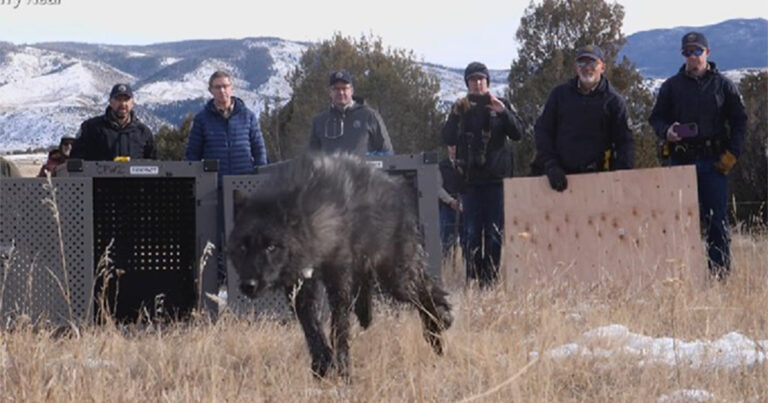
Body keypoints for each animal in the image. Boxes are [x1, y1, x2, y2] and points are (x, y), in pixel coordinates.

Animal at [225, 154, 452, 378]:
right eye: (243, 247)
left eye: (271, 246)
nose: (248, 285)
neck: (314, 219)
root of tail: (395, 186)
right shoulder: (300, 286)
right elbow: (310, 325)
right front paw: (322, 363)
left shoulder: (338, 280)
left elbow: (338, 326)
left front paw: (342, 368)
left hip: (396, 279)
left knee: (425, 292)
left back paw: (439, 325)